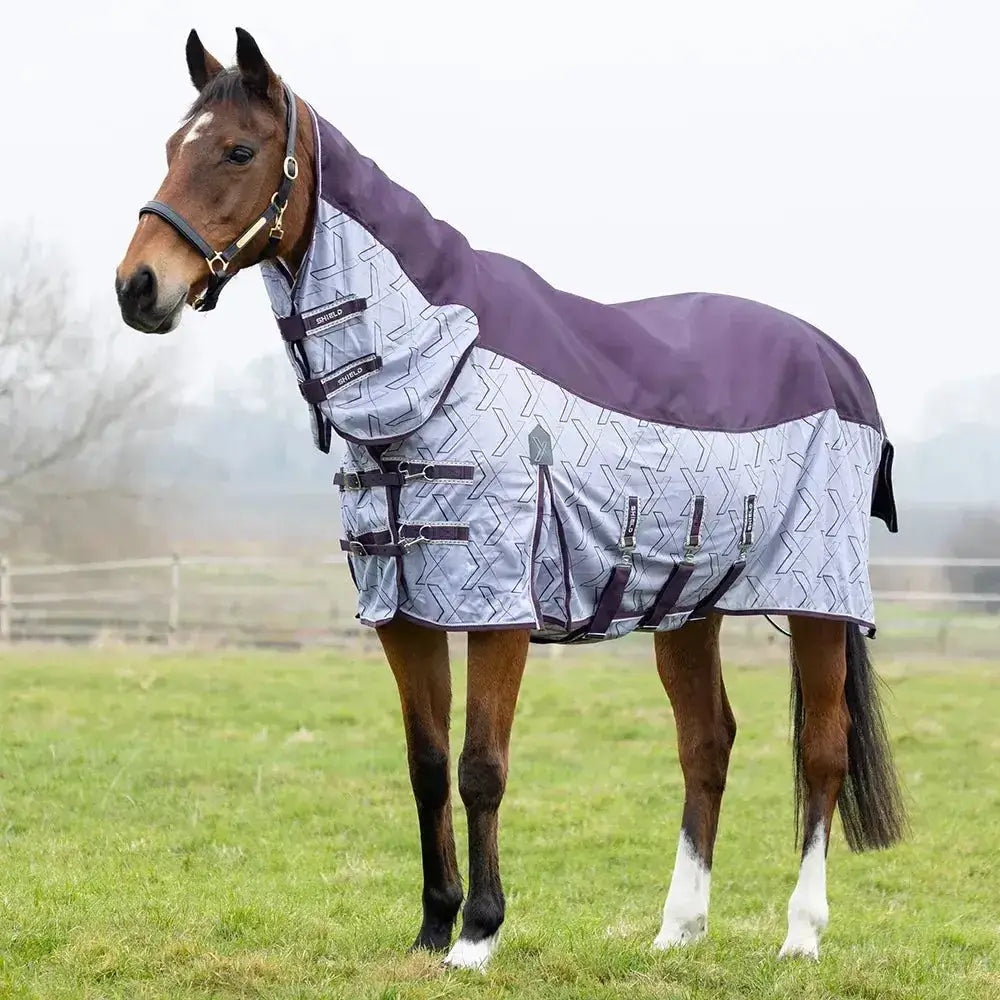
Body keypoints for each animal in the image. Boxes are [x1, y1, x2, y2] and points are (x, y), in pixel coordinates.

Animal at [115, 28, 906, 970]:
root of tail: (836, 360)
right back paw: (676, 931)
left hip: (820, 598)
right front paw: (431, 925)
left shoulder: (498, 609)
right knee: (705, 745)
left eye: (238, 150)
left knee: (822, 750)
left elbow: (480, 766)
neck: (437, 367)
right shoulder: (404, 610)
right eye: (172, 146)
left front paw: (478, 933)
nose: (137, 288)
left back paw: (800, 936)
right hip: (688, 605)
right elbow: (425, 766)